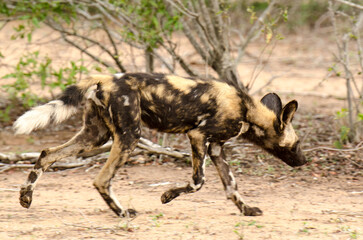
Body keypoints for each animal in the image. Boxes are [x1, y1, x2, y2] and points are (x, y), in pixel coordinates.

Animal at [15, 72, 308, 217]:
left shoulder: (215, 148)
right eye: (296, 145)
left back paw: (26, 197)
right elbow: (198, 182)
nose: (304, 161)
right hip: (129, 136)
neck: (247, 110)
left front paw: (247, 210)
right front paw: (167, 196)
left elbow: (231, 186)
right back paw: (123, 212)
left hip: (95, 136)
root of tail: (104, 78)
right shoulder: (198, 136)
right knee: (101, 179)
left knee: (47, 154)